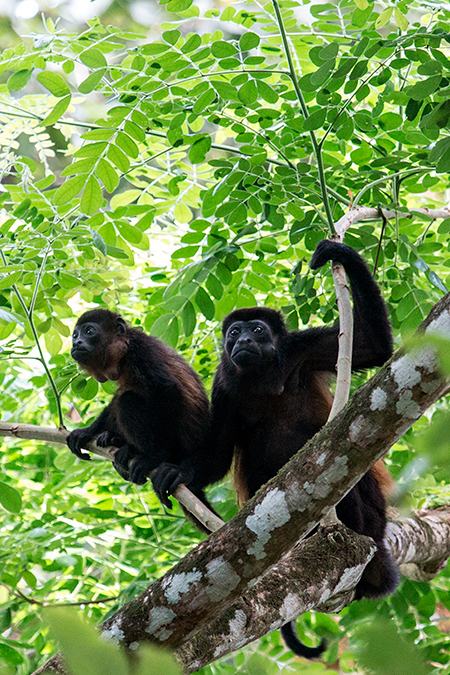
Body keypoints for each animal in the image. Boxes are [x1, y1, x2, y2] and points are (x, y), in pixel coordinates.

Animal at [64, 308, 216, 532]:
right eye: (75, 335)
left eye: (89, 331)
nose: (76, 343)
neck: (122, 353)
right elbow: (115, 399)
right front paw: (86, 432)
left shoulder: (142, 352)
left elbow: (168, 391)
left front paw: (155, 457)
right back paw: (114, 440)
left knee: (127, 400)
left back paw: (135, 451)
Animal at [212, 242, 400, 660]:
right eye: (234, 332)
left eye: (256, 329)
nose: (242, 340)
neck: (262, 377)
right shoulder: (223, 385)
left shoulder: (303, 348)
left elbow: (373, 347)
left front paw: (338, 252)